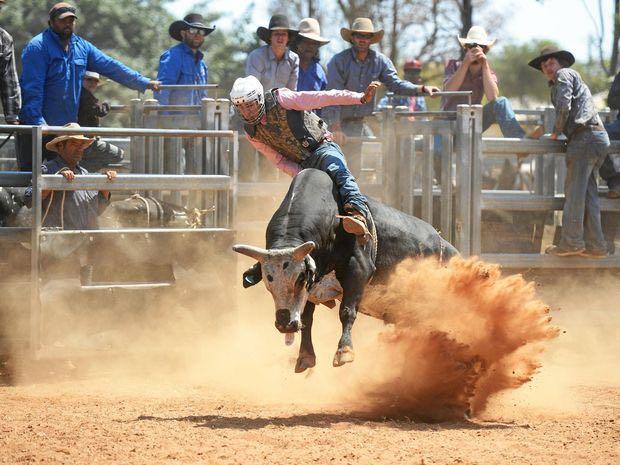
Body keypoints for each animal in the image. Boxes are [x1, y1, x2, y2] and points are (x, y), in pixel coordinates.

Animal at [232, 169, 456, 372]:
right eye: (268, 281)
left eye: (300, 278)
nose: (285, 324)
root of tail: (445, 245)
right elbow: (307, 318)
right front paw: (305, 357)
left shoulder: (358, 271)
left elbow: (347, 311)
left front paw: (344, 351)